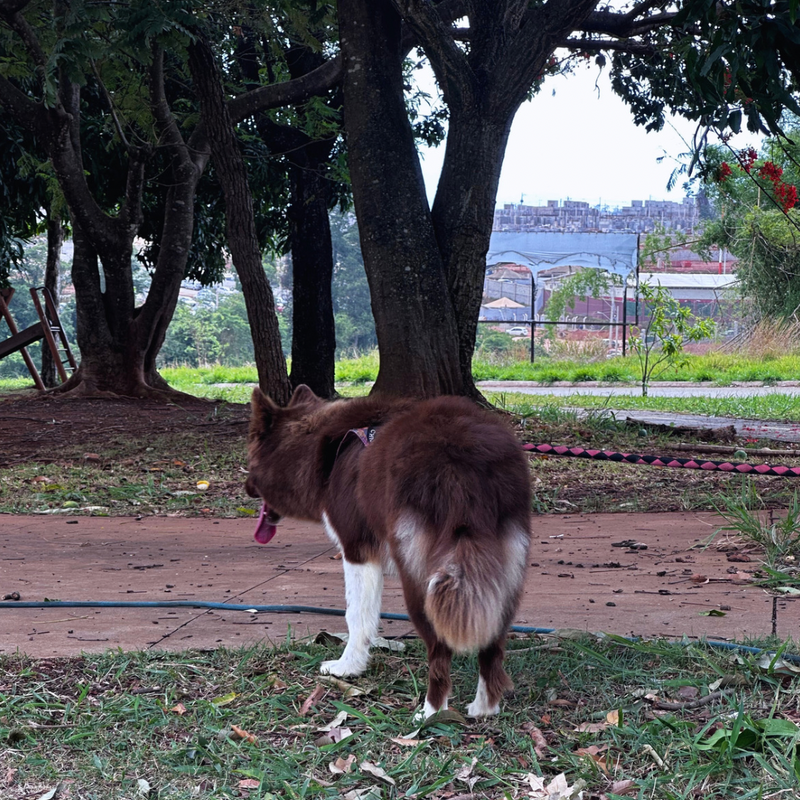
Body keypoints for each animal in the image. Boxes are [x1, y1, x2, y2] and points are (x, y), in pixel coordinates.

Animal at [244, 384, 532, 716]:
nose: (246, 488)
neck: (324, 450)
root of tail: (462, 461)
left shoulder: (356, 550)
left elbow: (357, 615)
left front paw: (347, 667)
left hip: (424, 579)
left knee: (439, 651)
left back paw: (431, 713)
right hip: (501, 571)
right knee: (492, 647)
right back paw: (484, 708)